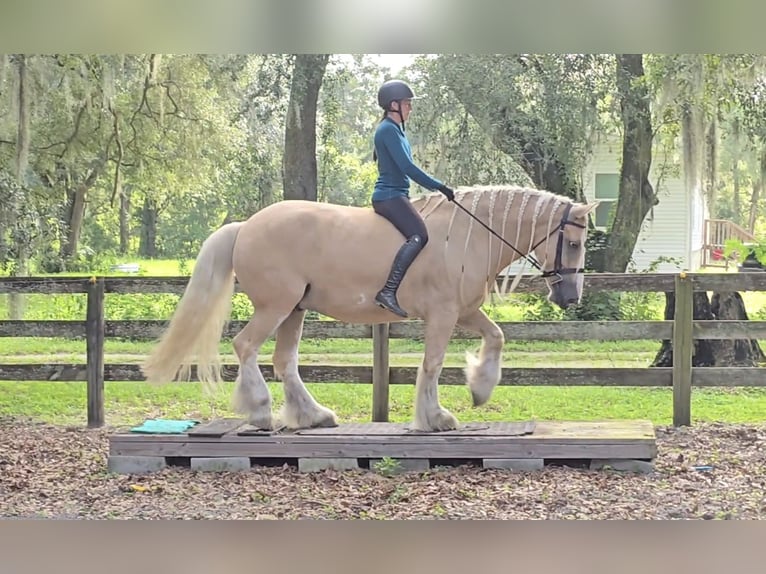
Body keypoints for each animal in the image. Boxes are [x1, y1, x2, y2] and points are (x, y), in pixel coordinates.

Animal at [142, 185, 597, 433]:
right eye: (575, 243)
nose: (570, 297)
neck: (469, 235)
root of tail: (246, 226)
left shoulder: (464, 311)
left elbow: (496, 337)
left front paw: (480, 389)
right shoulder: (443, 315)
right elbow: (432, 364)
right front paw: (435, 417)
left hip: (294, 311)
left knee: (284, 360)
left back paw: (314, 415)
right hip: (276, 306)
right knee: (246, 347)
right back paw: (260, 412)